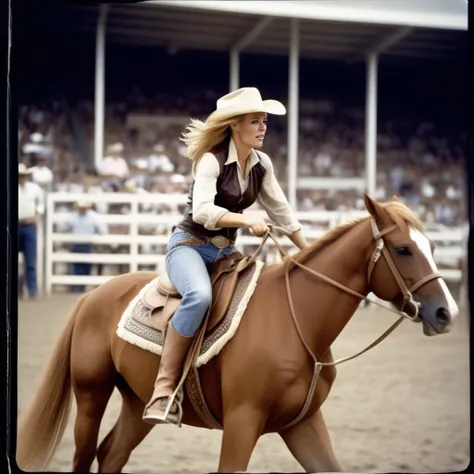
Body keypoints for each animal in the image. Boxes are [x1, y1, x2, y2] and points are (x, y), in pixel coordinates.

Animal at [17, 194, 460, 472]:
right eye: (403, 249)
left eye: (433, 247)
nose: (446, 312)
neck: (296, 320)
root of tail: (92, 296)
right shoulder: (242, 423)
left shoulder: (303, 424)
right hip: (91, 395)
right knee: (85, 455)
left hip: (137, 405)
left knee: (111, 455)